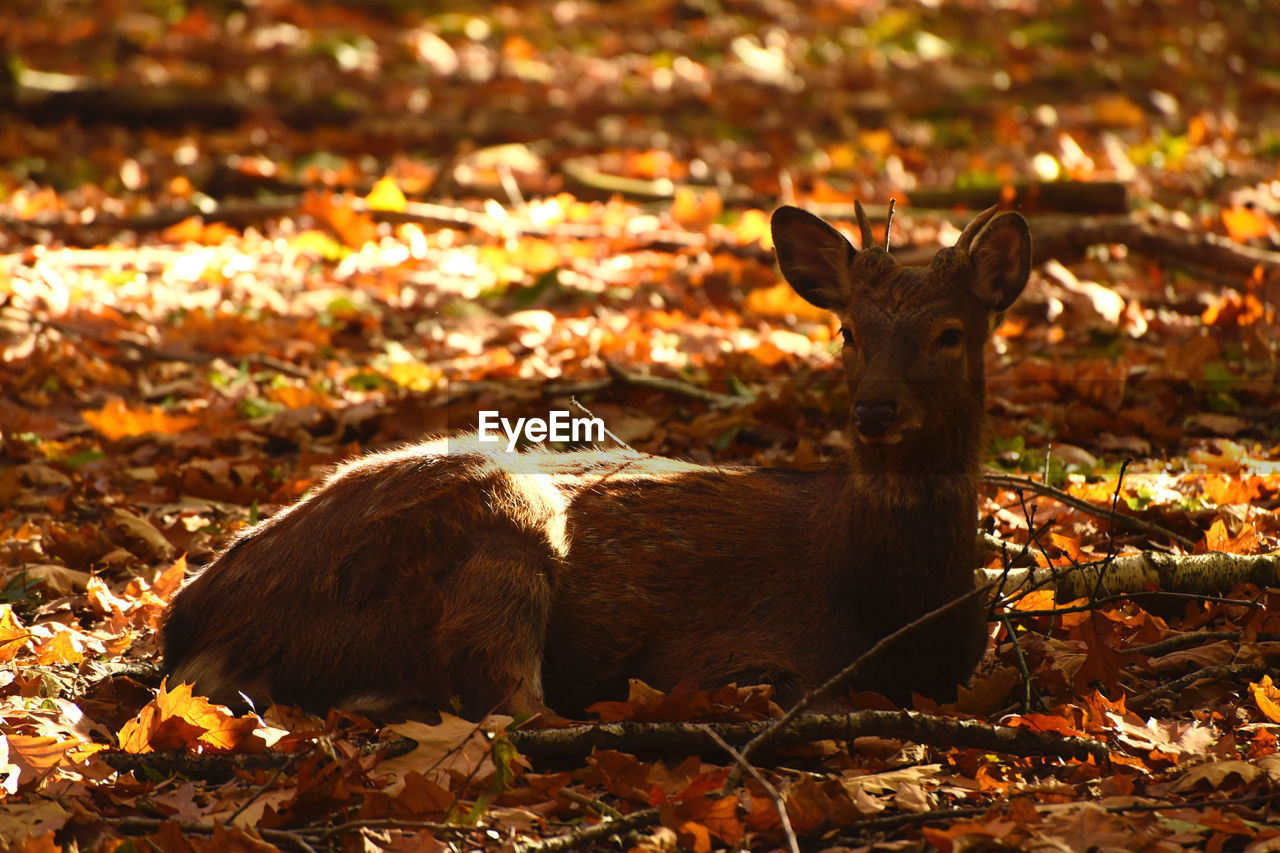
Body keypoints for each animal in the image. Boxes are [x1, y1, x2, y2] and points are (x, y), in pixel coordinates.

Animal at [165, 202, 1034, 712]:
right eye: (848, 329)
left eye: (951, 332)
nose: (875, 408)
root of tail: (189, 621)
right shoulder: (732, 650)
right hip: (507, 515)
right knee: (510, 705)